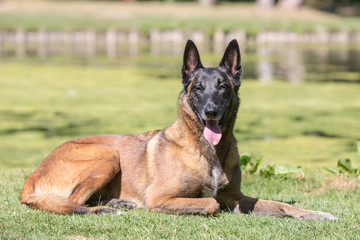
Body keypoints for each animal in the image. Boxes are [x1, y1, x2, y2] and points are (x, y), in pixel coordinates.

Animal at [20, 39, 334, 219]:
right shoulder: (163, 197)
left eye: (223, 87)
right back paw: (107, 209)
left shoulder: (236, 197)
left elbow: (281, 205)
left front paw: (315, 213)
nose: (211, 112)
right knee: (71, 203)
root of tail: (33, 174)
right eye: (198, 89)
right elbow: (210, 203)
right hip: (107, 154)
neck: (208, 151)